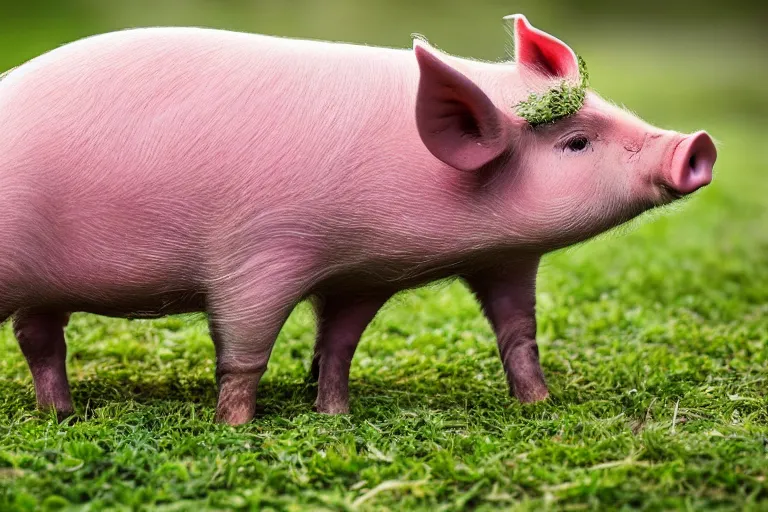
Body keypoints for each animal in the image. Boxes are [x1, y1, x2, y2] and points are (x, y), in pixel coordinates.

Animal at [0, 15, 712, 424]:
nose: (696, 144)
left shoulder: (376, 273)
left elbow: (360, 342)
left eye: (610, 108)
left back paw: (61, 416)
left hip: (44, 292)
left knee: (39, 339)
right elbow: (244, 351)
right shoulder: (262, 252)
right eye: (576, 143)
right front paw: (236, 427)